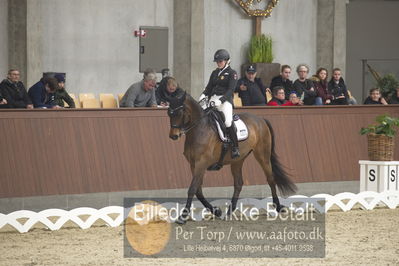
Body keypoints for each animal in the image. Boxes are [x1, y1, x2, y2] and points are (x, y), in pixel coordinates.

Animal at [167, 92, 298, 223]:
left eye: (180, 112)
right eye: (169, 113)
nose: (173, 136)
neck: (199, 129)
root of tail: (261, 119)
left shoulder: (201, 163)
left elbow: (192, 189)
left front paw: (182, 216)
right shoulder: (193, 164)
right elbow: (198, 191)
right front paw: (216, 211)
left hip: (262, 154)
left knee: (270, 179)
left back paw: (278, 207)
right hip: (238, 160)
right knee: (238, 183)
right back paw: (229, 212)